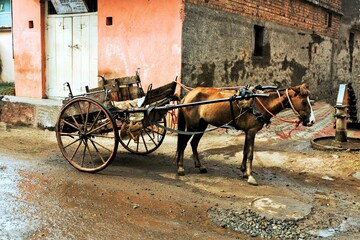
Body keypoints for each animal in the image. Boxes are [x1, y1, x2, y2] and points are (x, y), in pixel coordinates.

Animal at [176, 83, 316, 186]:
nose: (312, 121)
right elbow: (250, 154)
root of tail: (188, 95)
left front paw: (244, 172)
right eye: (304, 102)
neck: (261, 104)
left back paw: (200, 166)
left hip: (202, 125)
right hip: (192, 125)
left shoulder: (247, 131)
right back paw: (180, 168)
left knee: (193, 143)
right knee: (183, 143)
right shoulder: (252, 131)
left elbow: (244, 151)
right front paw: (250, 176)